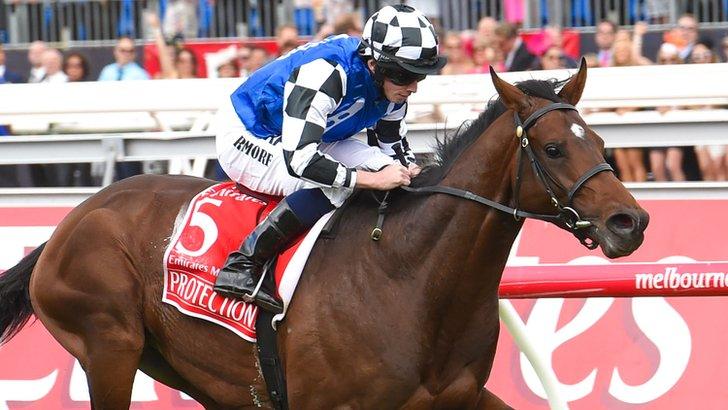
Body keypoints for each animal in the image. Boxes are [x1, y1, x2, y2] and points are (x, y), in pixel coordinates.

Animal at [0, 62, 648, 408]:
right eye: (554, 148)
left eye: (601, 142)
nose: (631, 222)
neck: (412, 280)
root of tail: (69, 224)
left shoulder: (460, 397)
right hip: (109, 348)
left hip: (198, 372)